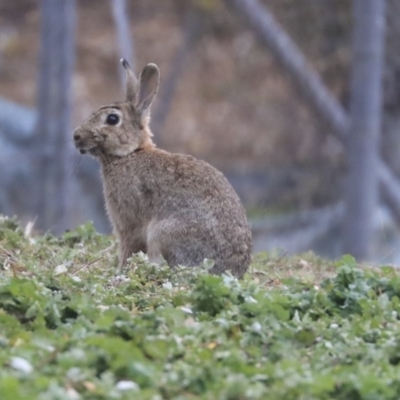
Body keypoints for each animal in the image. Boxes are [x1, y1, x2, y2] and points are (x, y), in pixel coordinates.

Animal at [73, 59, 252, 278]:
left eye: (112, 119)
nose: (76, 136)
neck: (131, 153)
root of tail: (229, 271)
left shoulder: (129, 224)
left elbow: (128, 248)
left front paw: (120, 272)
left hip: (163, 233)